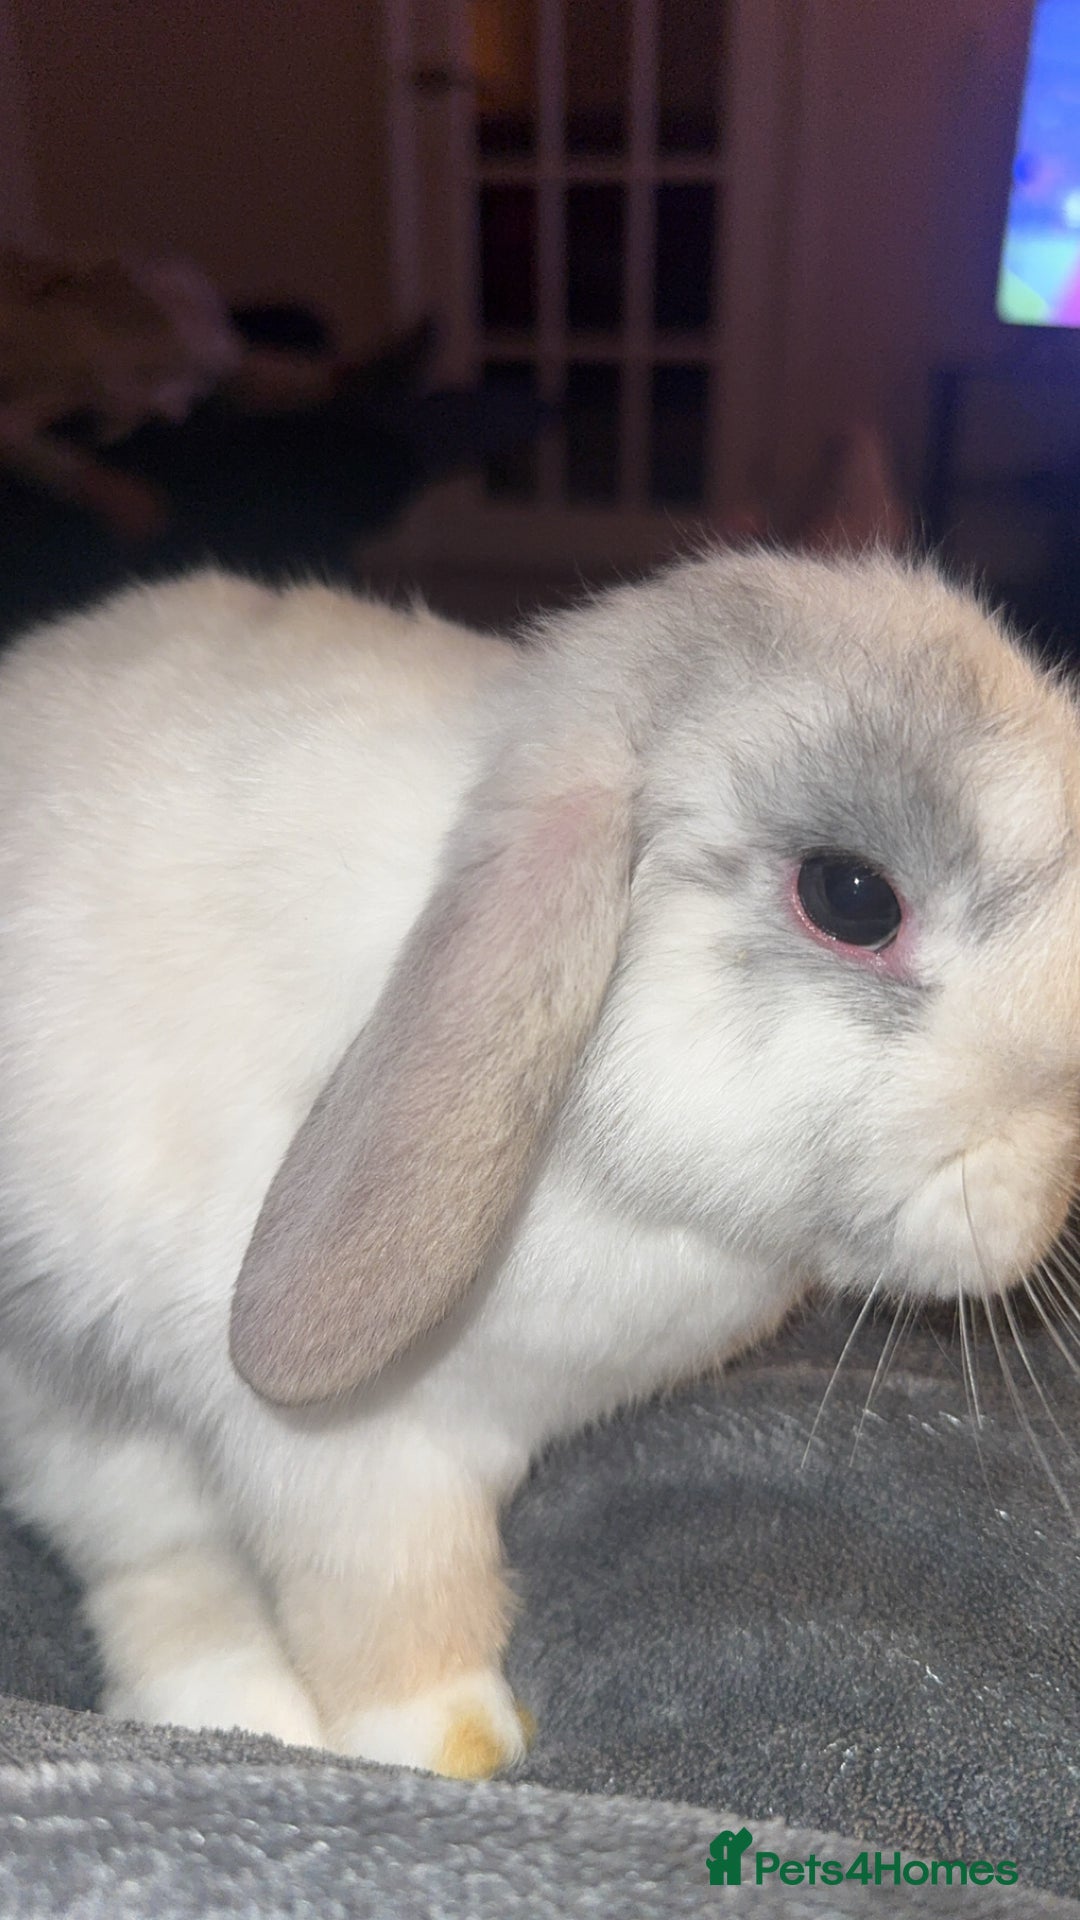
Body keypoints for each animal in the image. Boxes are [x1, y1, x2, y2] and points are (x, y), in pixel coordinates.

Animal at [0, 548, 1079, 1777]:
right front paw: (452, 1748)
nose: (1046, 1195)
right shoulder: (343, 1456)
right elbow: (389, 1593)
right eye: (851, 897)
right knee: (153, 1551)